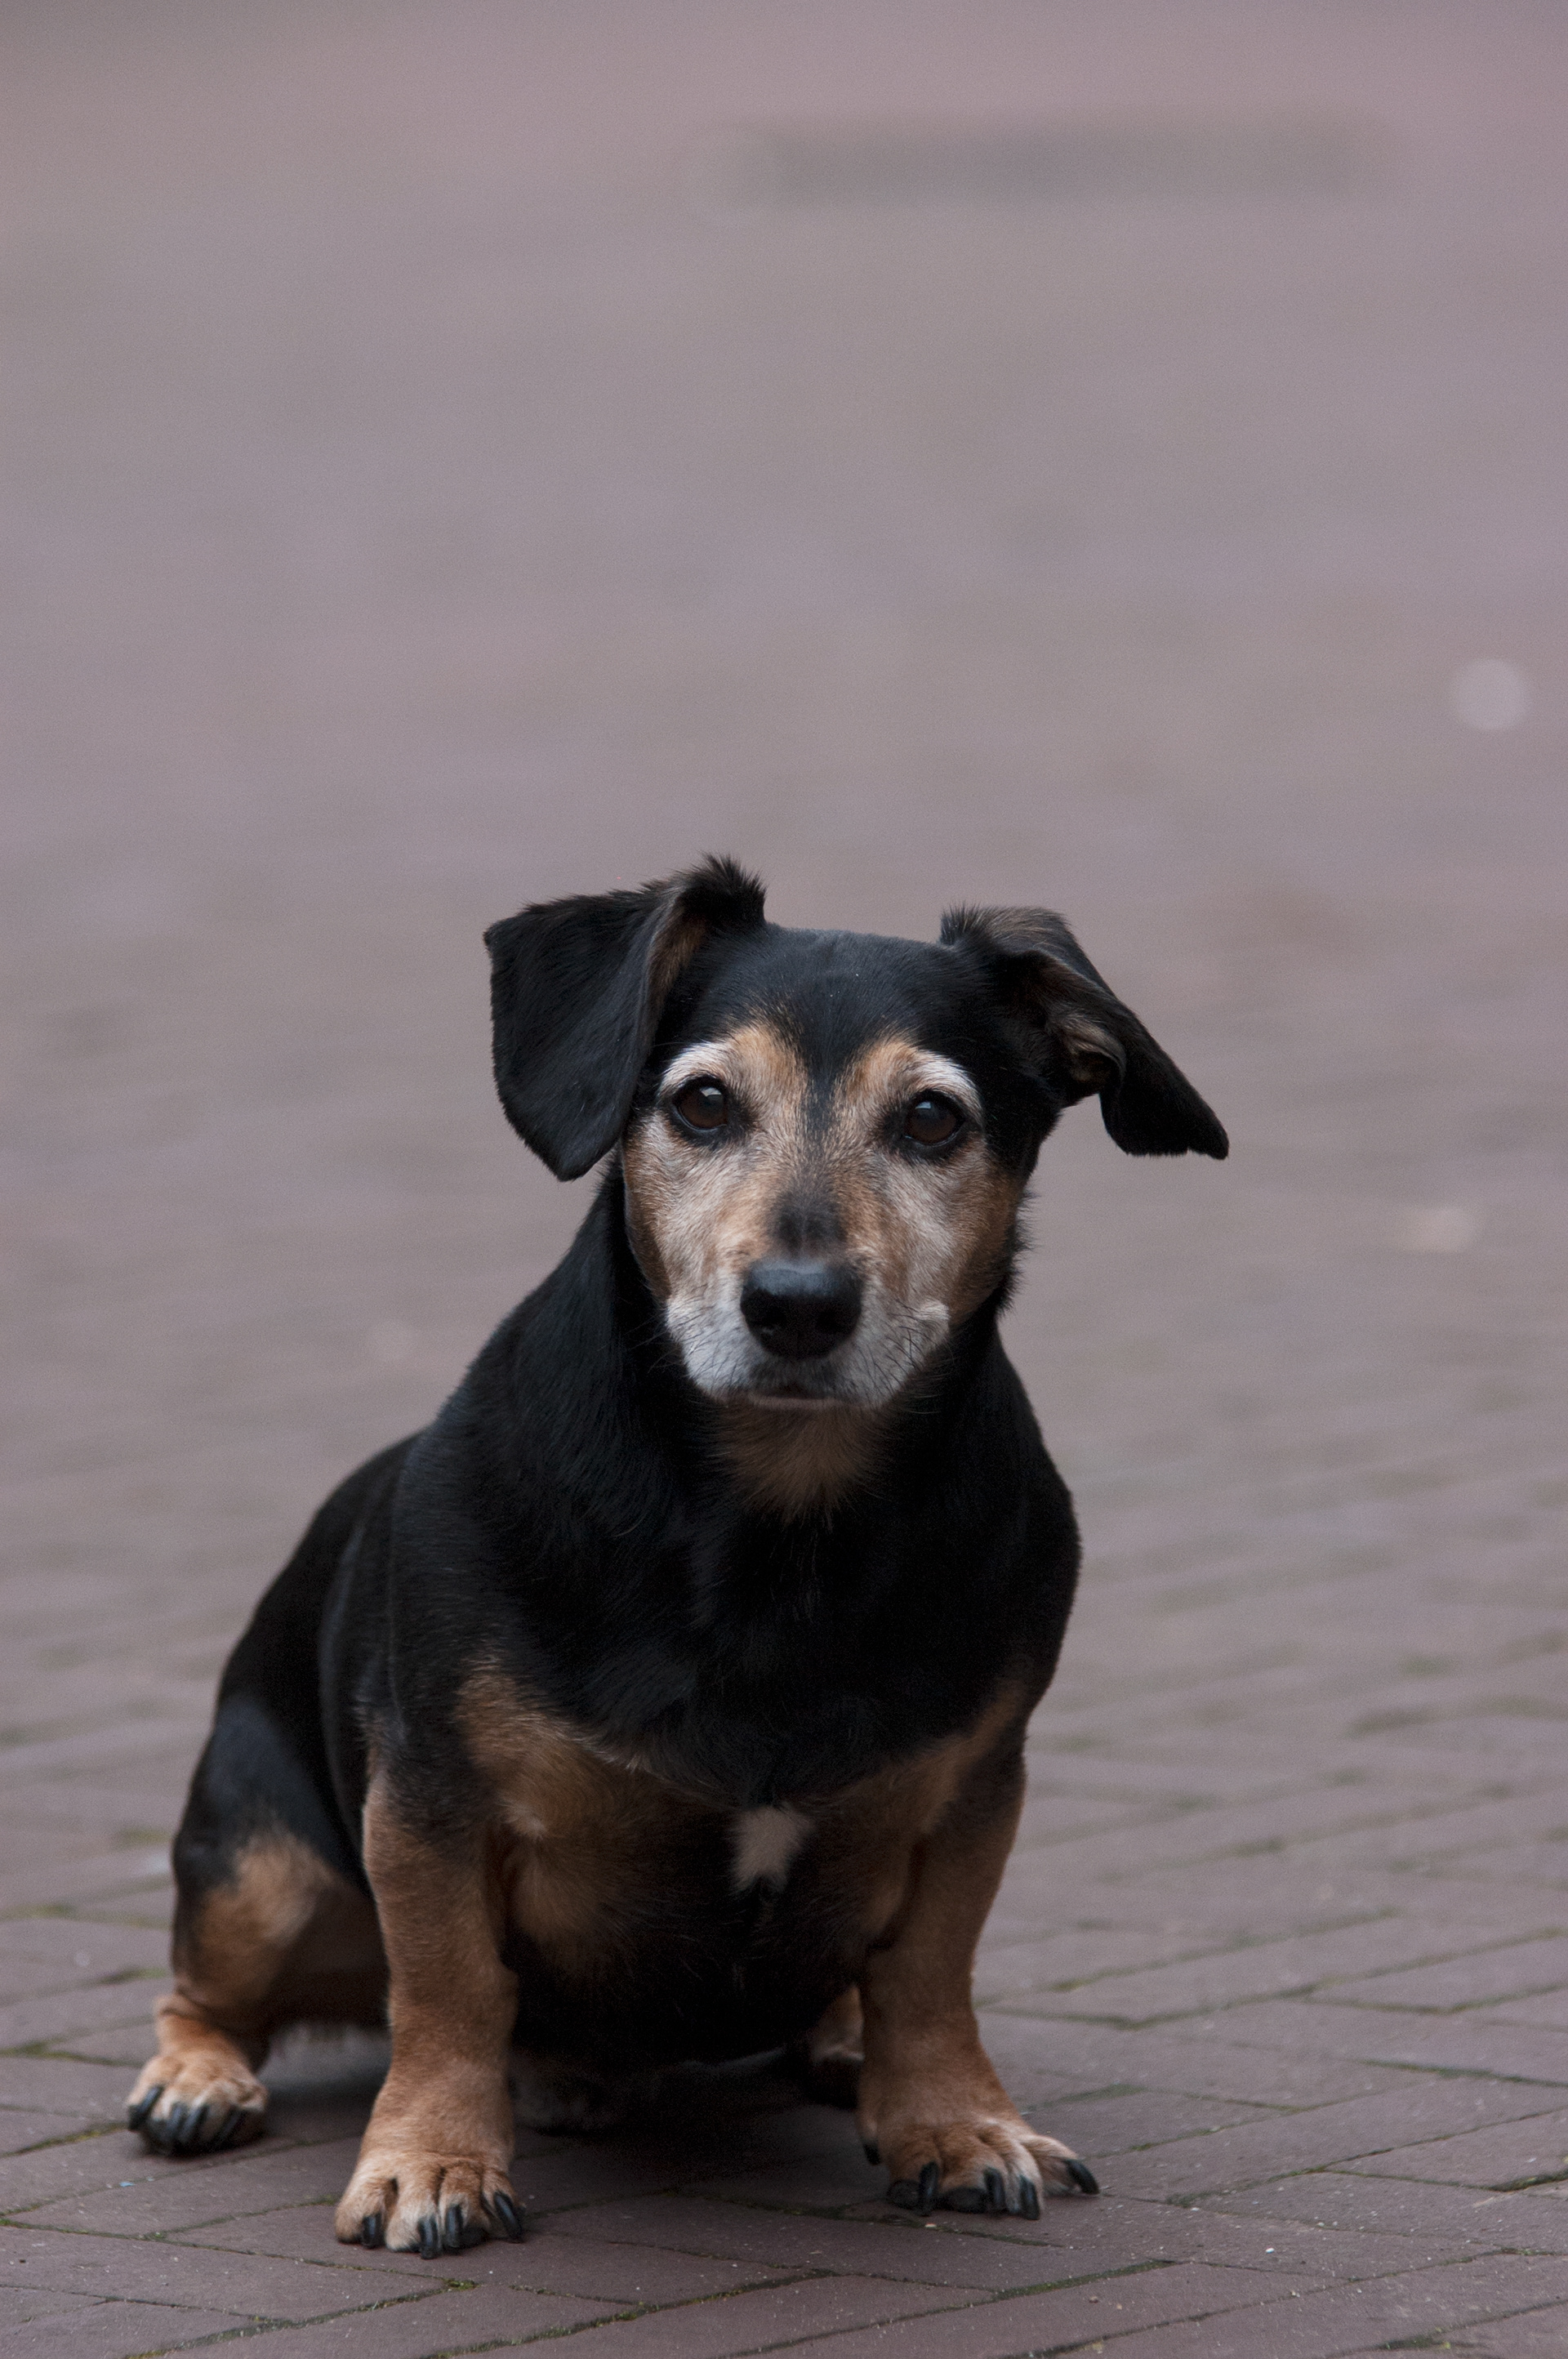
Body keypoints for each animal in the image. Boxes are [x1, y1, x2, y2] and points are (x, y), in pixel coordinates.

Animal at [127, 859, 1225, 2251]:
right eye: (703, 1102)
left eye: (934, 1121)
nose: (799, 1305)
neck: (778, 1528)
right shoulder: (429, 1802)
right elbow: (449, 1988)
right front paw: (431, 2161)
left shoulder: (976, 1788)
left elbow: (930, 1970)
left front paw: (953, 2123)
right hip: (260, 1876)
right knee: (210, 1986)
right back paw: (199, 2079)